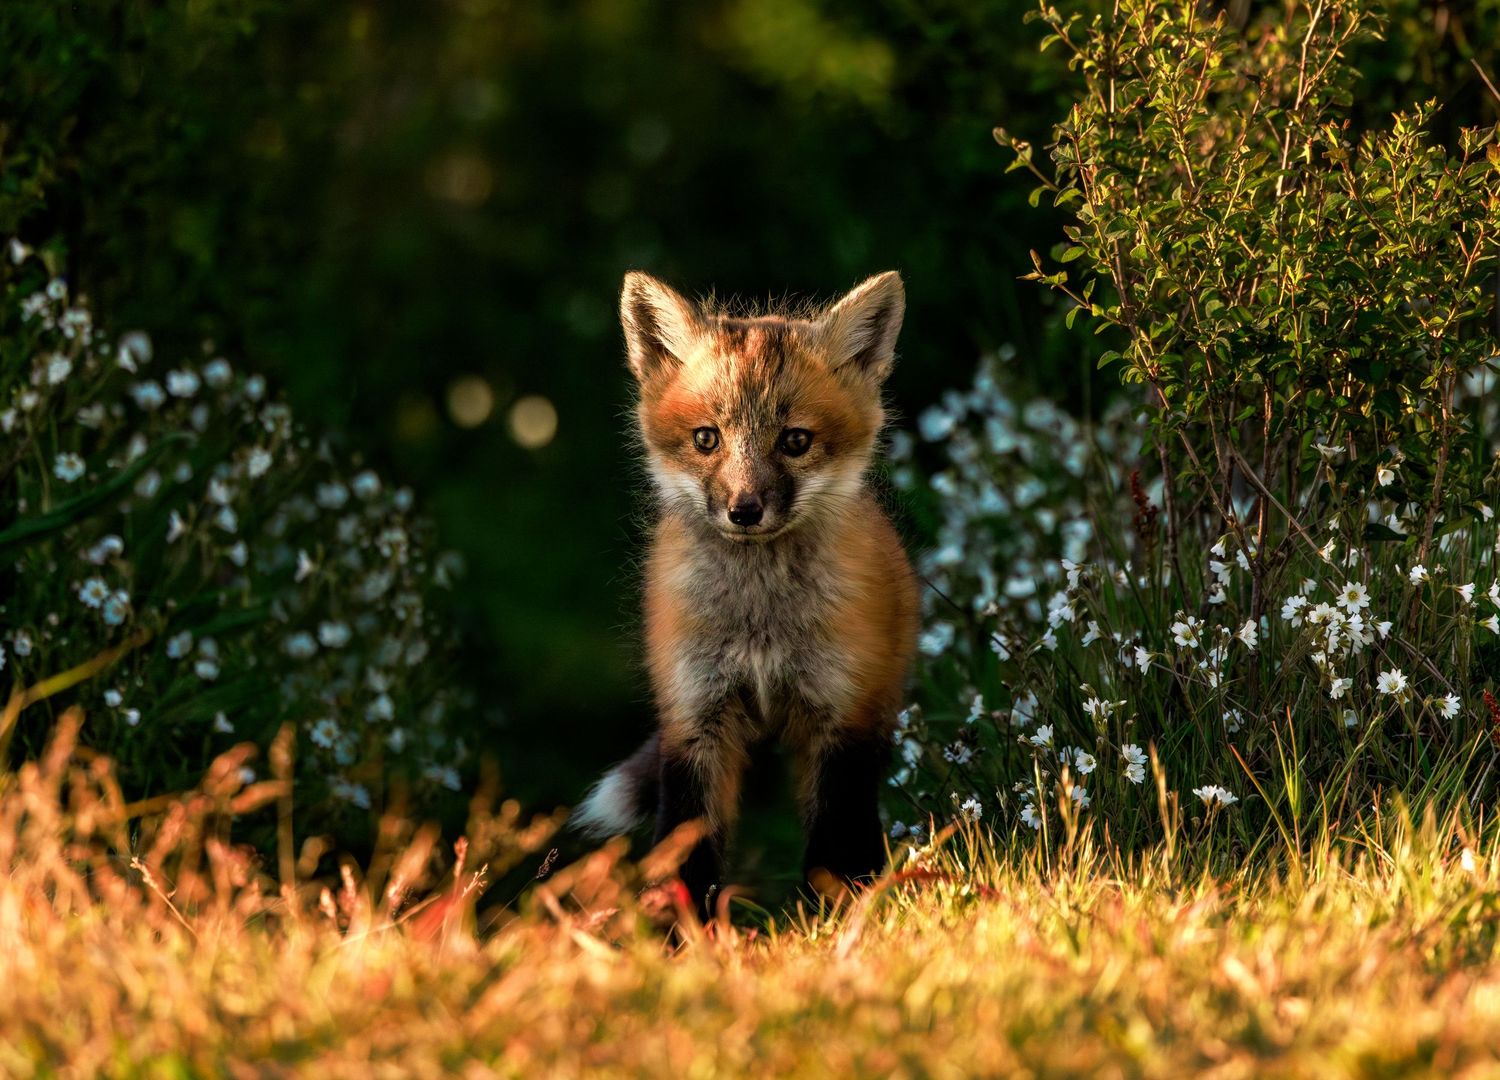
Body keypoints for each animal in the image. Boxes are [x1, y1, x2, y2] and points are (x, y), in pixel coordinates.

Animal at [573, 269, 920, 915]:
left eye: (795, 441)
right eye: (707, 439)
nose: (744, 510)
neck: (761, 624)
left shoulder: (841, 720)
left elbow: (835, 846)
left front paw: (837, 920)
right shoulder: (694, 717)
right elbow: (686, 851)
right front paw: (681, 933)